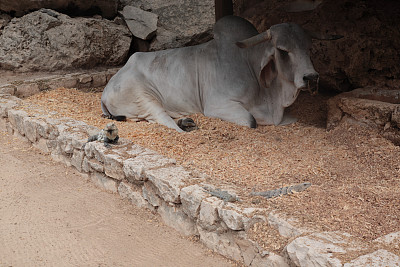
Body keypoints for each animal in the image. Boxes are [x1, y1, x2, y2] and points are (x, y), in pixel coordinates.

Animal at [101, 15, 320, 132]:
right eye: (283, 50)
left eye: (309, 48)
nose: (311, 77)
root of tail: (107, 88)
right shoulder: (218, 105)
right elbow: (251, 122)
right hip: (145, 99)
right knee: (166, 122)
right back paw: (185, 127)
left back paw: (186, 121)